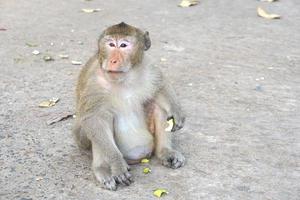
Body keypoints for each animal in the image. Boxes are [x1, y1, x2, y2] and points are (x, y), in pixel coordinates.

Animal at [72, 22, 185, 191]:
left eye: (124, 45)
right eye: (111, 44)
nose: (113, 61)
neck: (125, 77)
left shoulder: (149, 67)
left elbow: (160, 86)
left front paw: (176, 110)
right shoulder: (94, 81)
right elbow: (94, 119)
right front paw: (117, 165)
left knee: (157, 105)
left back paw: (165, 152)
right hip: (82, 139)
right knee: (102, 120)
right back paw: (103, 169)